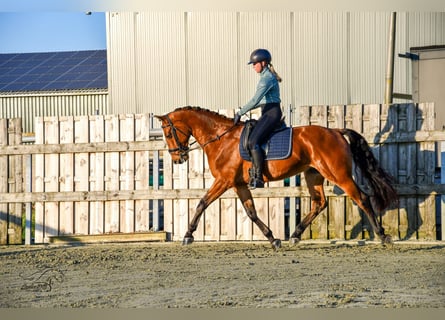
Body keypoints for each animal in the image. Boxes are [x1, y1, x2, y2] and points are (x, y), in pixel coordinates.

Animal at [154, 106, 398, 249]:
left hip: (339, 174)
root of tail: (335, 131)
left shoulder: (224, 181)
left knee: (362, 198)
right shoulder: (239, 184)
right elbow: (251, 212)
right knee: (319, 203)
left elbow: (202, 203)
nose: (178, 158)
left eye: (167, 132)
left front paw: (188, 235)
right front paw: (273, 238)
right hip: (314, 175)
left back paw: (382, 235)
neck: (221, 138)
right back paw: (296, 234)